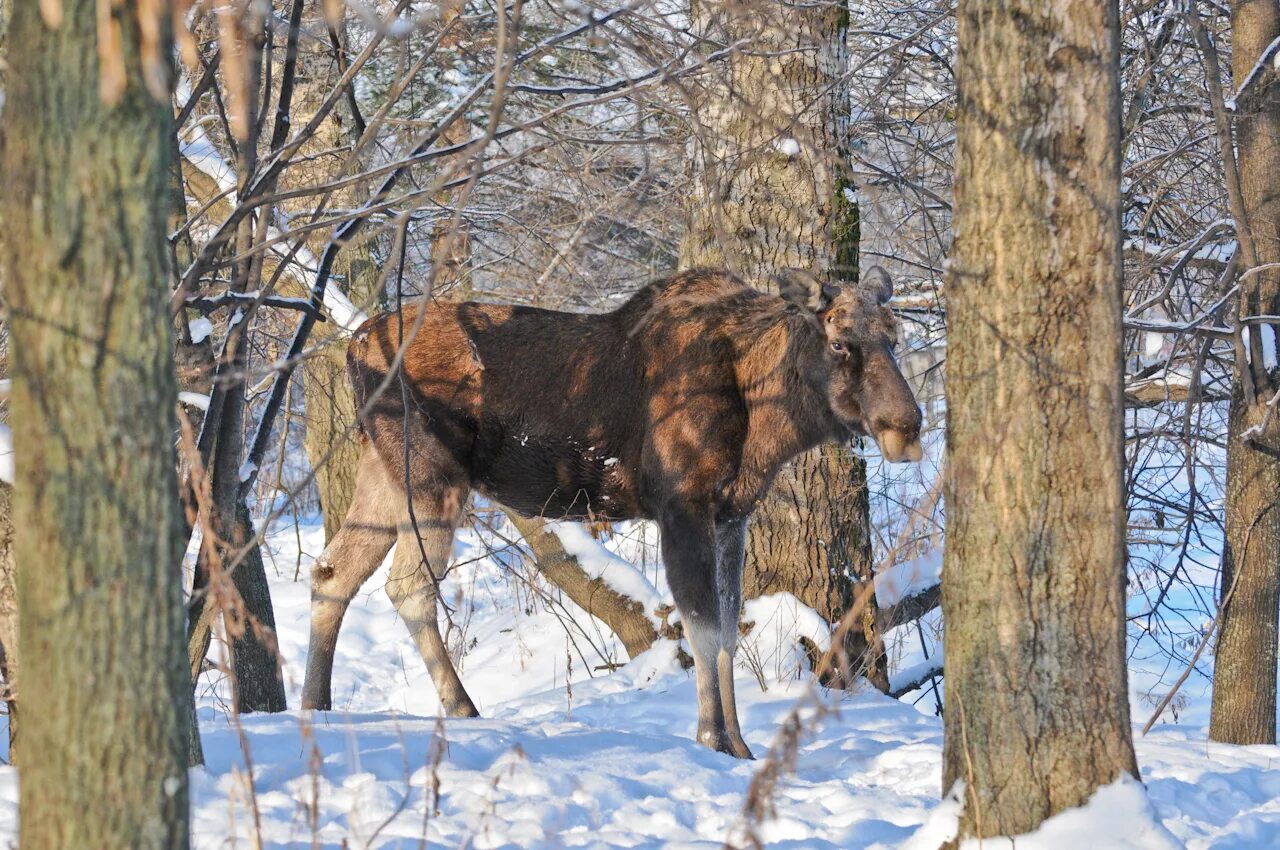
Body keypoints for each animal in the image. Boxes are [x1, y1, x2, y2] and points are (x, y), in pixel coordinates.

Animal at [299, 266, 921, 757]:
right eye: (839, 341)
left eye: (893, 336)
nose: (907, 425)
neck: (767, 422)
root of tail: (353, 347)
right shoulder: (682, 507)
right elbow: (701, 629)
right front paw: (712, 739)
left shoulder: (731, 514)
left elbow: (726, 627)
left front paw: (742, 744)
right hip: (430, 475)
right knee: (406, 585)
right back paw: (461, 707)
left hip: (381, 471)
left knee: (333, 570)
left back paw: (313, 705)